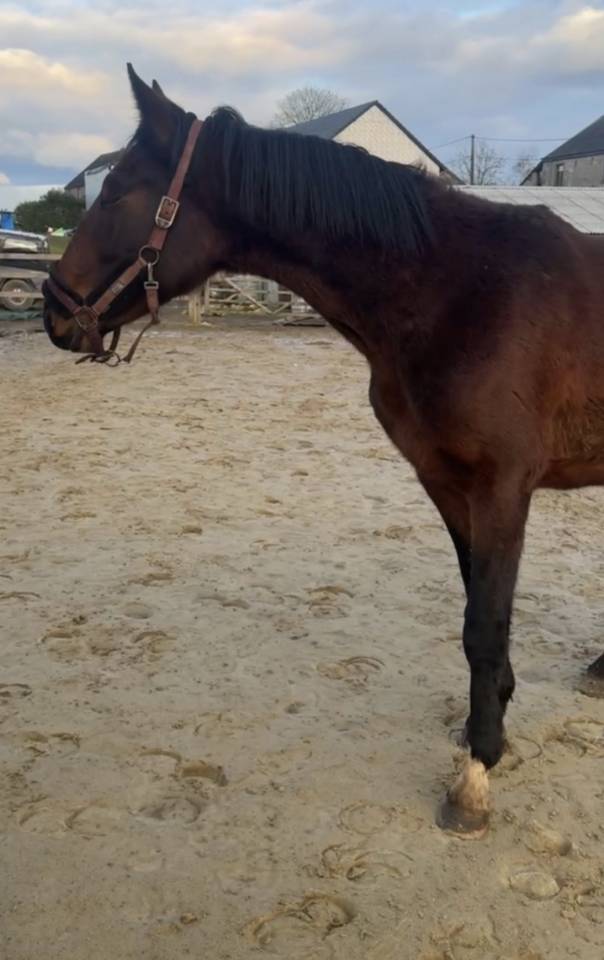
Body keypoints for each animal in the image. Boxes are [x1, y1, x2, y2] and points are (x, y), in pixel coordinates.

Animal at [43, 65, 604, 839]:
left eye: (120, 191)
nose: (52, 312)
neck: (459, 290)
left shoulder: (500, 488)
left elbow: (486, 625)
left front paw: (476, 777)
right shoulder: (447, 484)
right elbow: (473, 613)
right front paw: (486, 726)